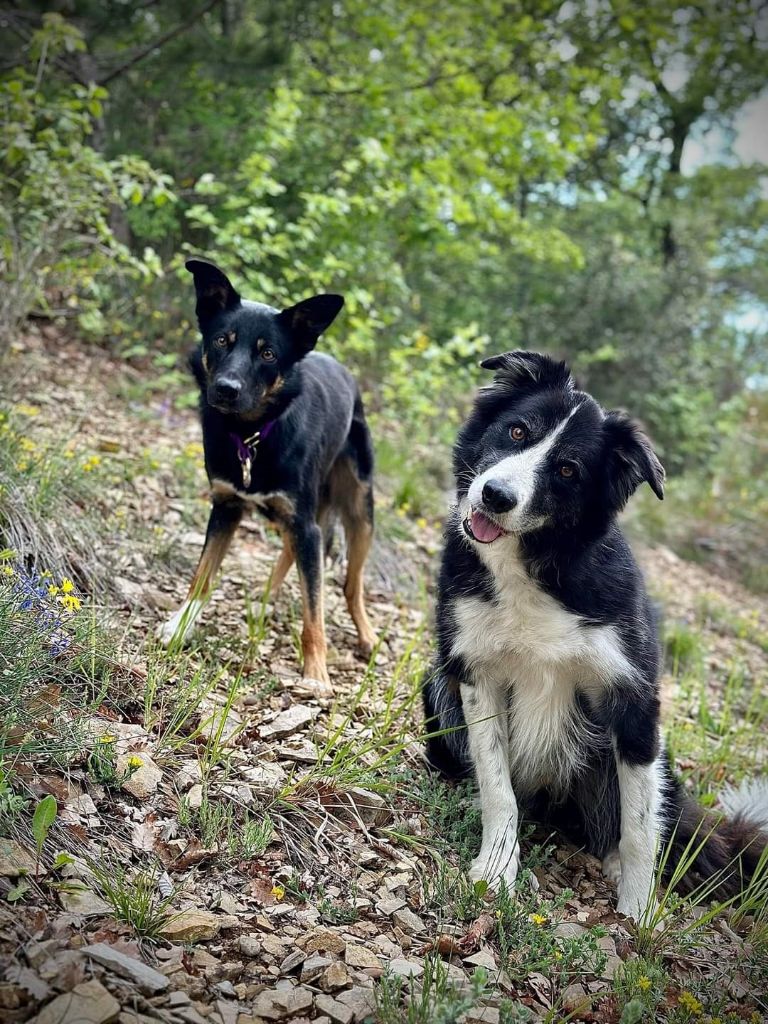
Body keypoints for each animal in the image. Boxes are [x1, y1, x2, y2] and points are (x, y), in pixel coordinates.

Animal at [159, 260, 378, 684]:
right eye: (222, 341)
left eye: (268, 353)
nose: (226, 389)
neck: (253, 434)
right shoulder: (226, 508)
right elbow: (201, 578)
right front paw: (180, 626)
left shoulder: (304, 522)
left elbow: (314, 607)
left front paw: (316, 673)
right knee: (293, 551)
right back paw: (264, 600)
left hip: (359, 509)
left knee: (350, 583)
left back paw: (366, 634)